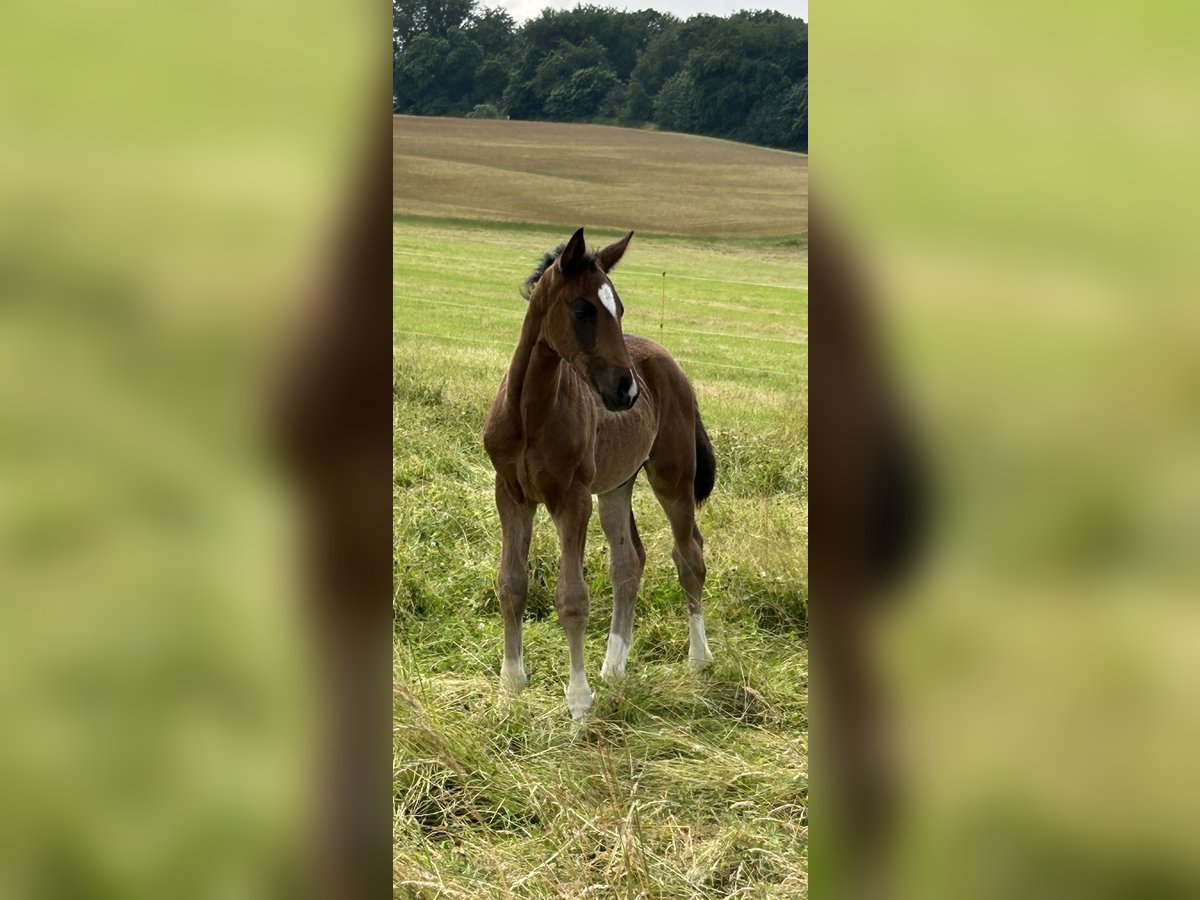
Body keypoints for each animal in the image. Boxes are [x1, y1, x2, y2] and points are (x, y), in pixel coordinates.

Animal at [482, 229, 715, 724]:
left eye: (619, 308)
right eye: (583, 310)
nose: (626, 390)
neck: (531, 414)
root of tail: (671, 364)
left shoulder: (572, 499)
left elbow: (572, 598)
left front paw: (578, 703)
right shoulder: (510, 493)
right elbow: (511, 584)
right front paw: (510, 689)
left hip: (672, 477)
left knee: (689, 554)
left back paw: (699, 657)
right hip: (615, 487)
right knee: (628, 561)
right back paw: (614, 667)